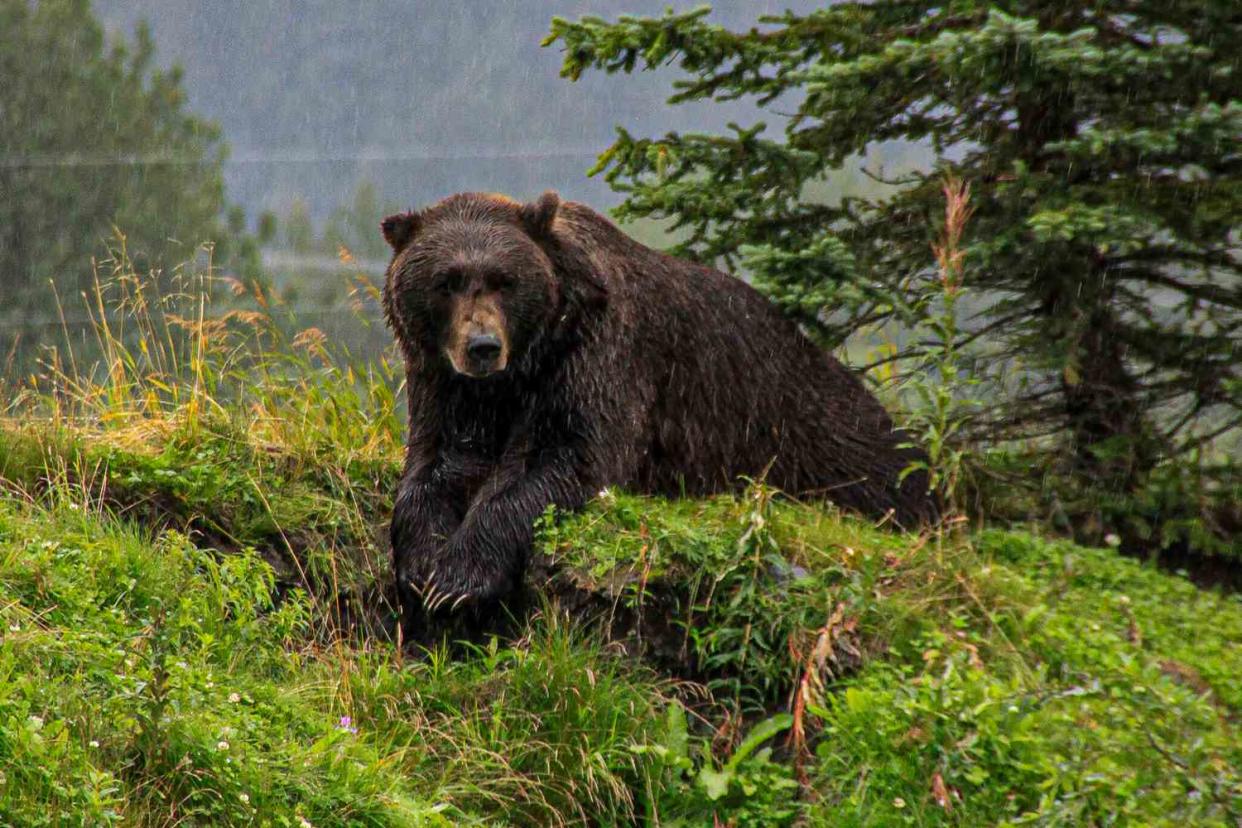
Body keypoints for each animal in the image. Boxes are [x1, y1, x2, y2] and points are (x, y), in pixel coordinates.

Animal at [382, 192, 933, 620]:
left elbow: (566, 458)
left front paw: (459, 579)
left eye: (504, 279)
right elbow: (435, 465)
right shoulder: (447, 384)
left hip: (813, 430)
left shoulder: (599, 355)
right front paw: (422, 564)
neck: (522, 370)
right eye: (446, 281)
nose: (483, 346)